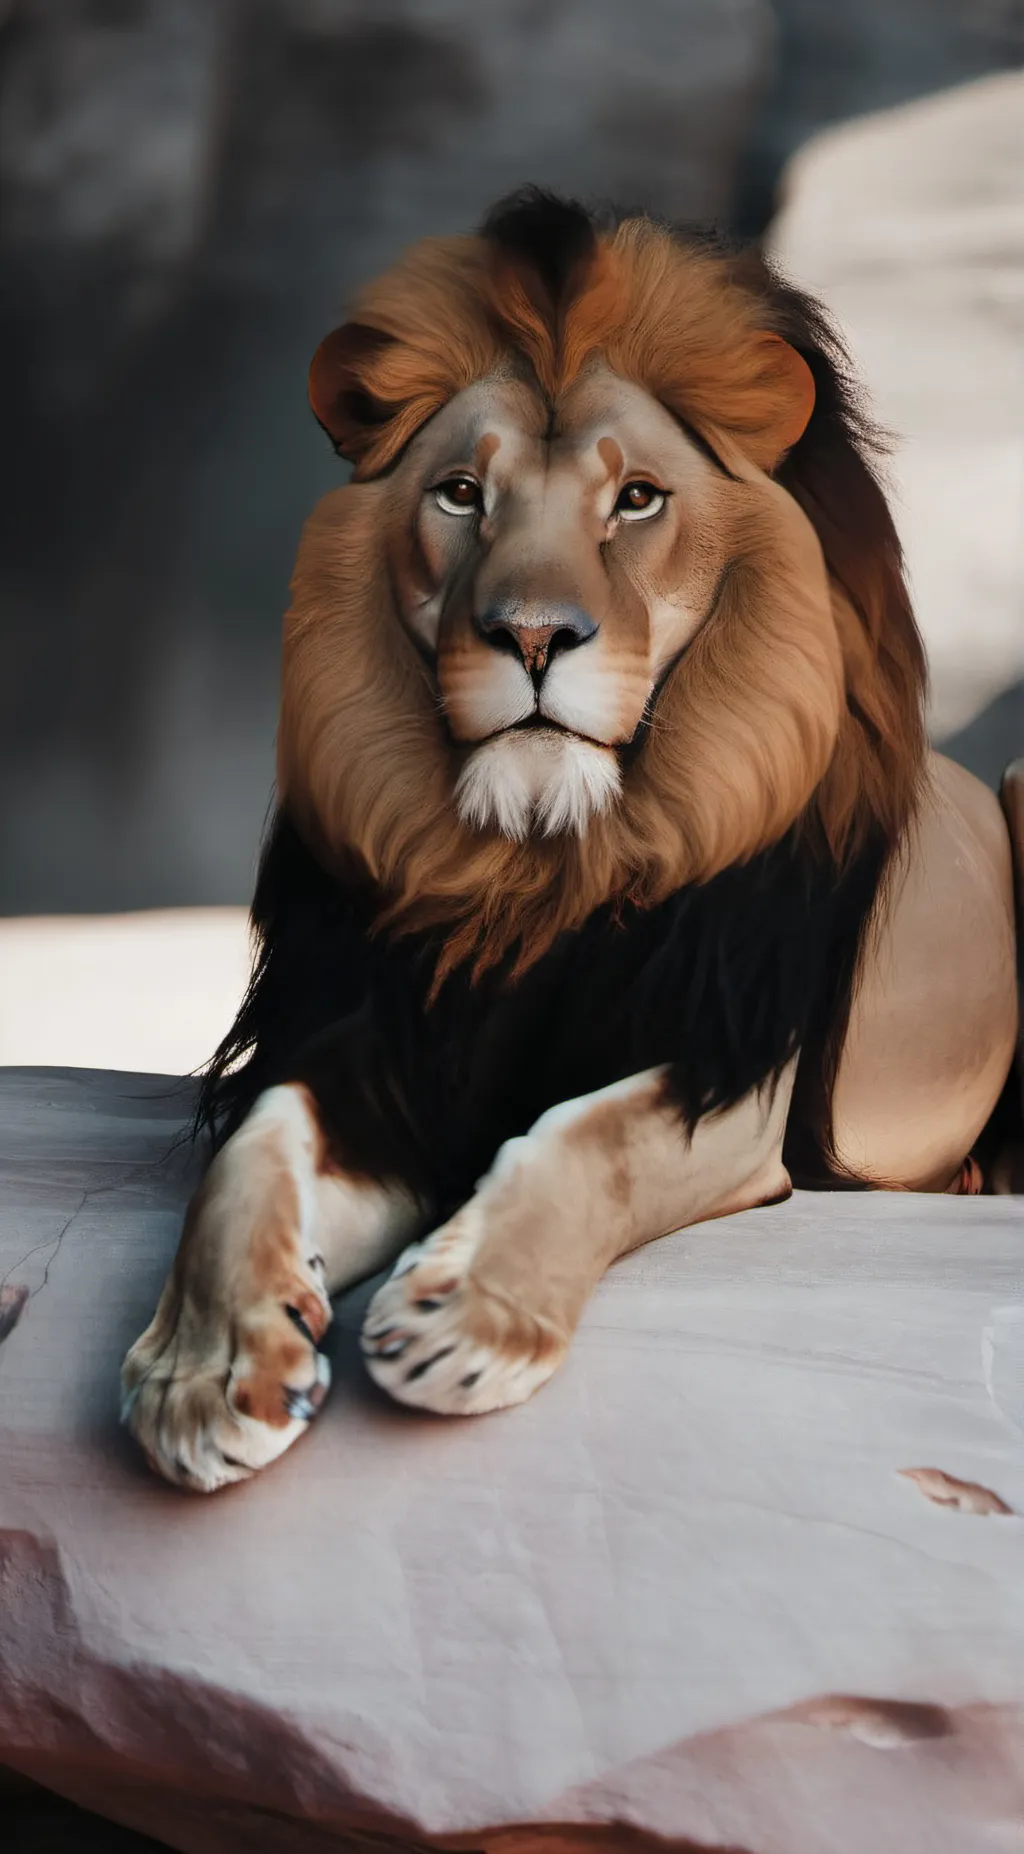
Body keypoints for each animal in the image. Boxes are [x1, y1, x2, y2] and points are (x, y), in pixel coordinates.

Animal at [122, 189, 1021, 1492]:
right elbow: (252, 1155)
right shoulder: (393, 1042)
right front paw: (204, 1372)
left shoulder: (726, 1067)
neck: (538, 868)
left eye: (636, 498)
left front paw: (464, 1321)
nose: (533, 636)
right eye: (460, 494)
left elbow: (593, 1136)